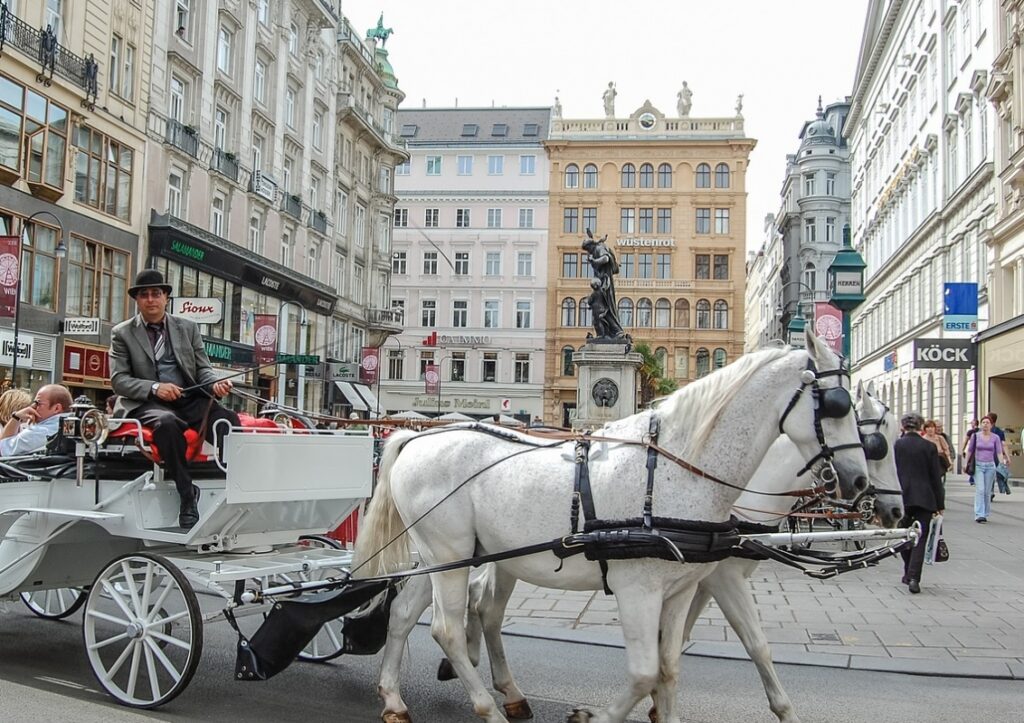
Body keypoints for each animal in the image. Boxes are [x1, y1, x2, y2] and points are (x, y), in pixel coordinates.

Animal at [352, 335, 864, 720]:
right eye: (837, 404)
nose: (858, 482)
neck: (677, 467)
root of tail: (418, 436)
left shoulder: (680, 590)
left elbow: (669, 667)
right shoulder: (639, 589)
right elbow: (643, 672)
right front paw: (592, 716)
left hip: (443, 558)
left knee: (406, 615)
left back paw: (395, 699)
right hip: (451, 557)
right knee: (448, 630)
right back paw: (488, 708)